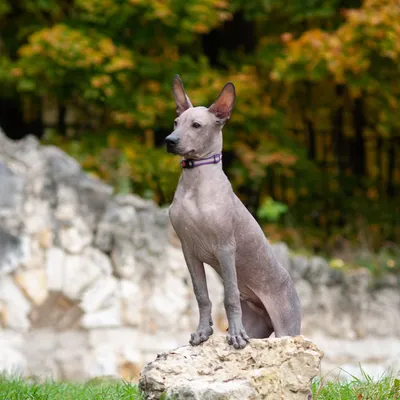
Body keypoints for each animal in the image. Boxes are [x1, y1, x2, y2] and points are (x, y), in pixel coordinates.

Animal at [165, 76, 300, 350]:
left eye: (196, 125)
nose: (169, 141)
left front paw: (236, 335)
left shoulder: (225, 248)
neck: (195, 185)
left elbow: (228, 296)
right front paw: (203, 332)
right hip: (258, 327)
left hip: (287, 330)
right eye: (175, 122)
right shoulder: (189, 251)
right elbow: (202, 295)